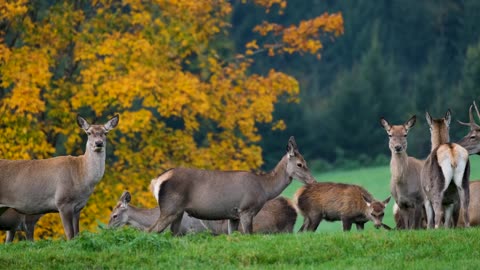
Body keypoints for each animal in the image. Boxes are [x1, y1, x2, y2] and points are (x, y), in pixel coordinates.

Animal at [148, 136, 316, 235]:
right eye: (300, 164)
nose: (313, 181)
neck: (264, 188)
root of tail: (157, 181)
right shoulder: (246, 210)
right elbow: (248, 235)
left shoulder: (233, 216)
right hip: (170, 207)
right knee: (151, 230)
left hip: (178, 211)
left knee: (172, 232)